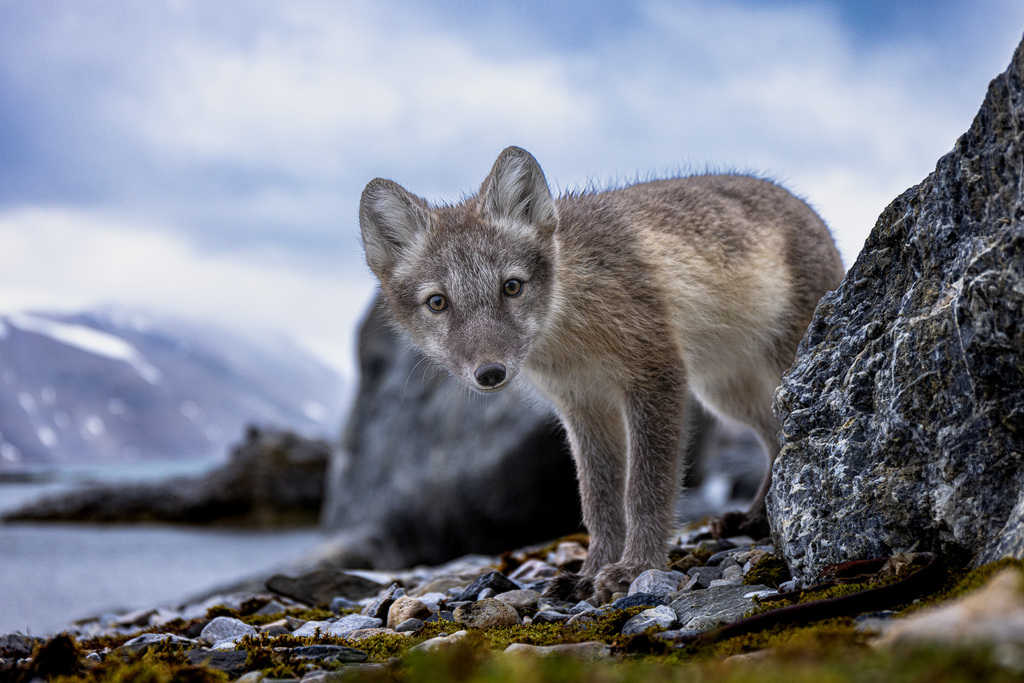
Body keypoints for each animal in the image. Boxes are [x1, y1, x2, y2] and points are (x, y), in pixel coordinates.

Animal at [358, 146, 844, 602]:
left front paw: (636, 569)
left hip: (779, 378)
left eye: (511, 286)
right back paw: (756, 518)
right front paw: (589, 574)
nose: (490, 373)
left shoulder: (656, 375)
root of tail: (810, 211)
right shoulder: (583, 407)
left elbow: (645, 489)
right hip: (727, 394)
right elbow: (599, 500)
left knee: (782, 442)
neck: (570, 329)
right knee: (776, 442)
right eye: (438, 302)